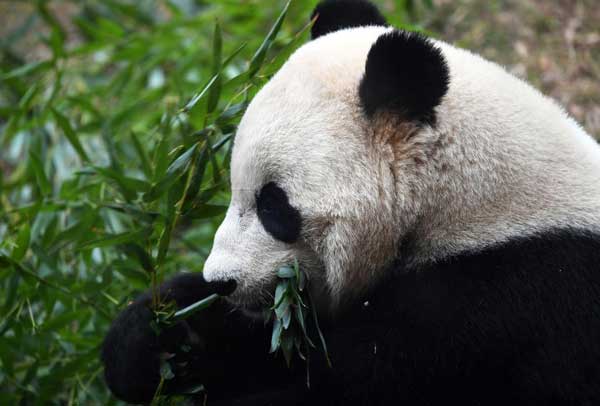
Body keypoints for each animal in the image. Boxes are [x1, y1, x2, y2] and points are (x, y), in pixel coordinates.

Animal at [101, 1, 600, 404]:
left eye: (272, 206)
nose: (222, 281)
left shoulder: (495, 301)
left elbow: (334, 382)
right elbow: (279, 344)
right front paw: (156, 335)